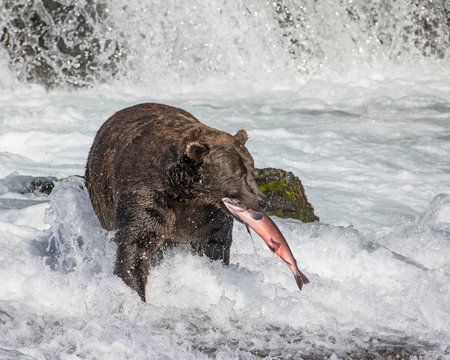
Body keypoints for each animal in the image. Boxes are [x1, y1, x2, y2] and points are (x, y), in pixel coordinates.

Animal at [86, 103, 266, 300]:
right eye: (238, 174)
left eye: (252, 171)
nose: (262, 200)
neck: (184, 192)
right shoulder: (148, 193)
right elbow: (137, 242)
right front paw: (134, 290)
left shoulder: (207, 213)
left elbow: (214, 243)